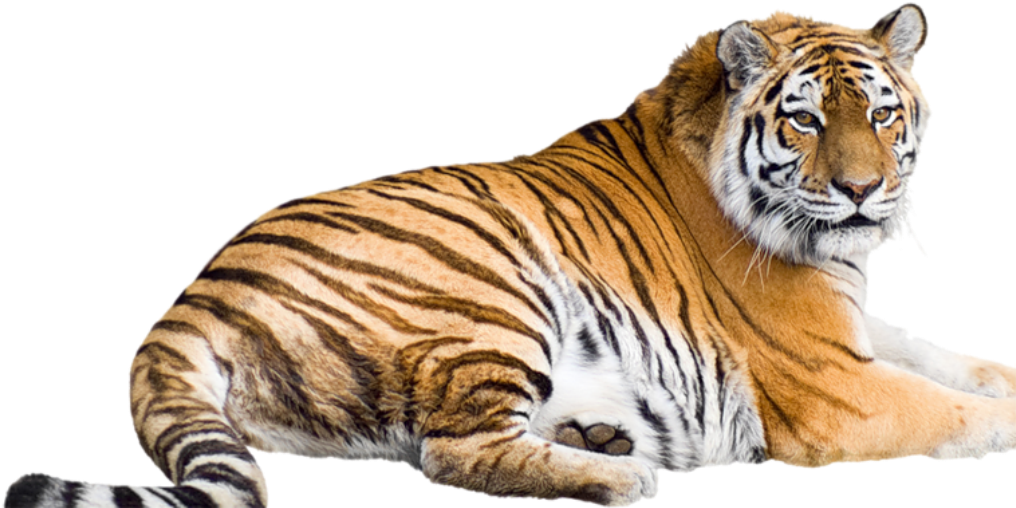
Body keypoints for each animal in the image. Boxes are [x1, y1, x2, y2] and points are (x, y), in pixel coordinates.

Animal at [5, 3, 1015, 507]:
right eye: (805, 120)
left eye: (882, 113)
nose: (863, 191)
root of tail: (192, 295)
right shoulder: (833, 384)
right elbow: (956, 409)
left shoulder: (855, 333)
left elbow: (958, 362)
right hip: (491, 293)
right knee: (450, 453)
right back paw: (620, 472)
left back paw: (598, 435)